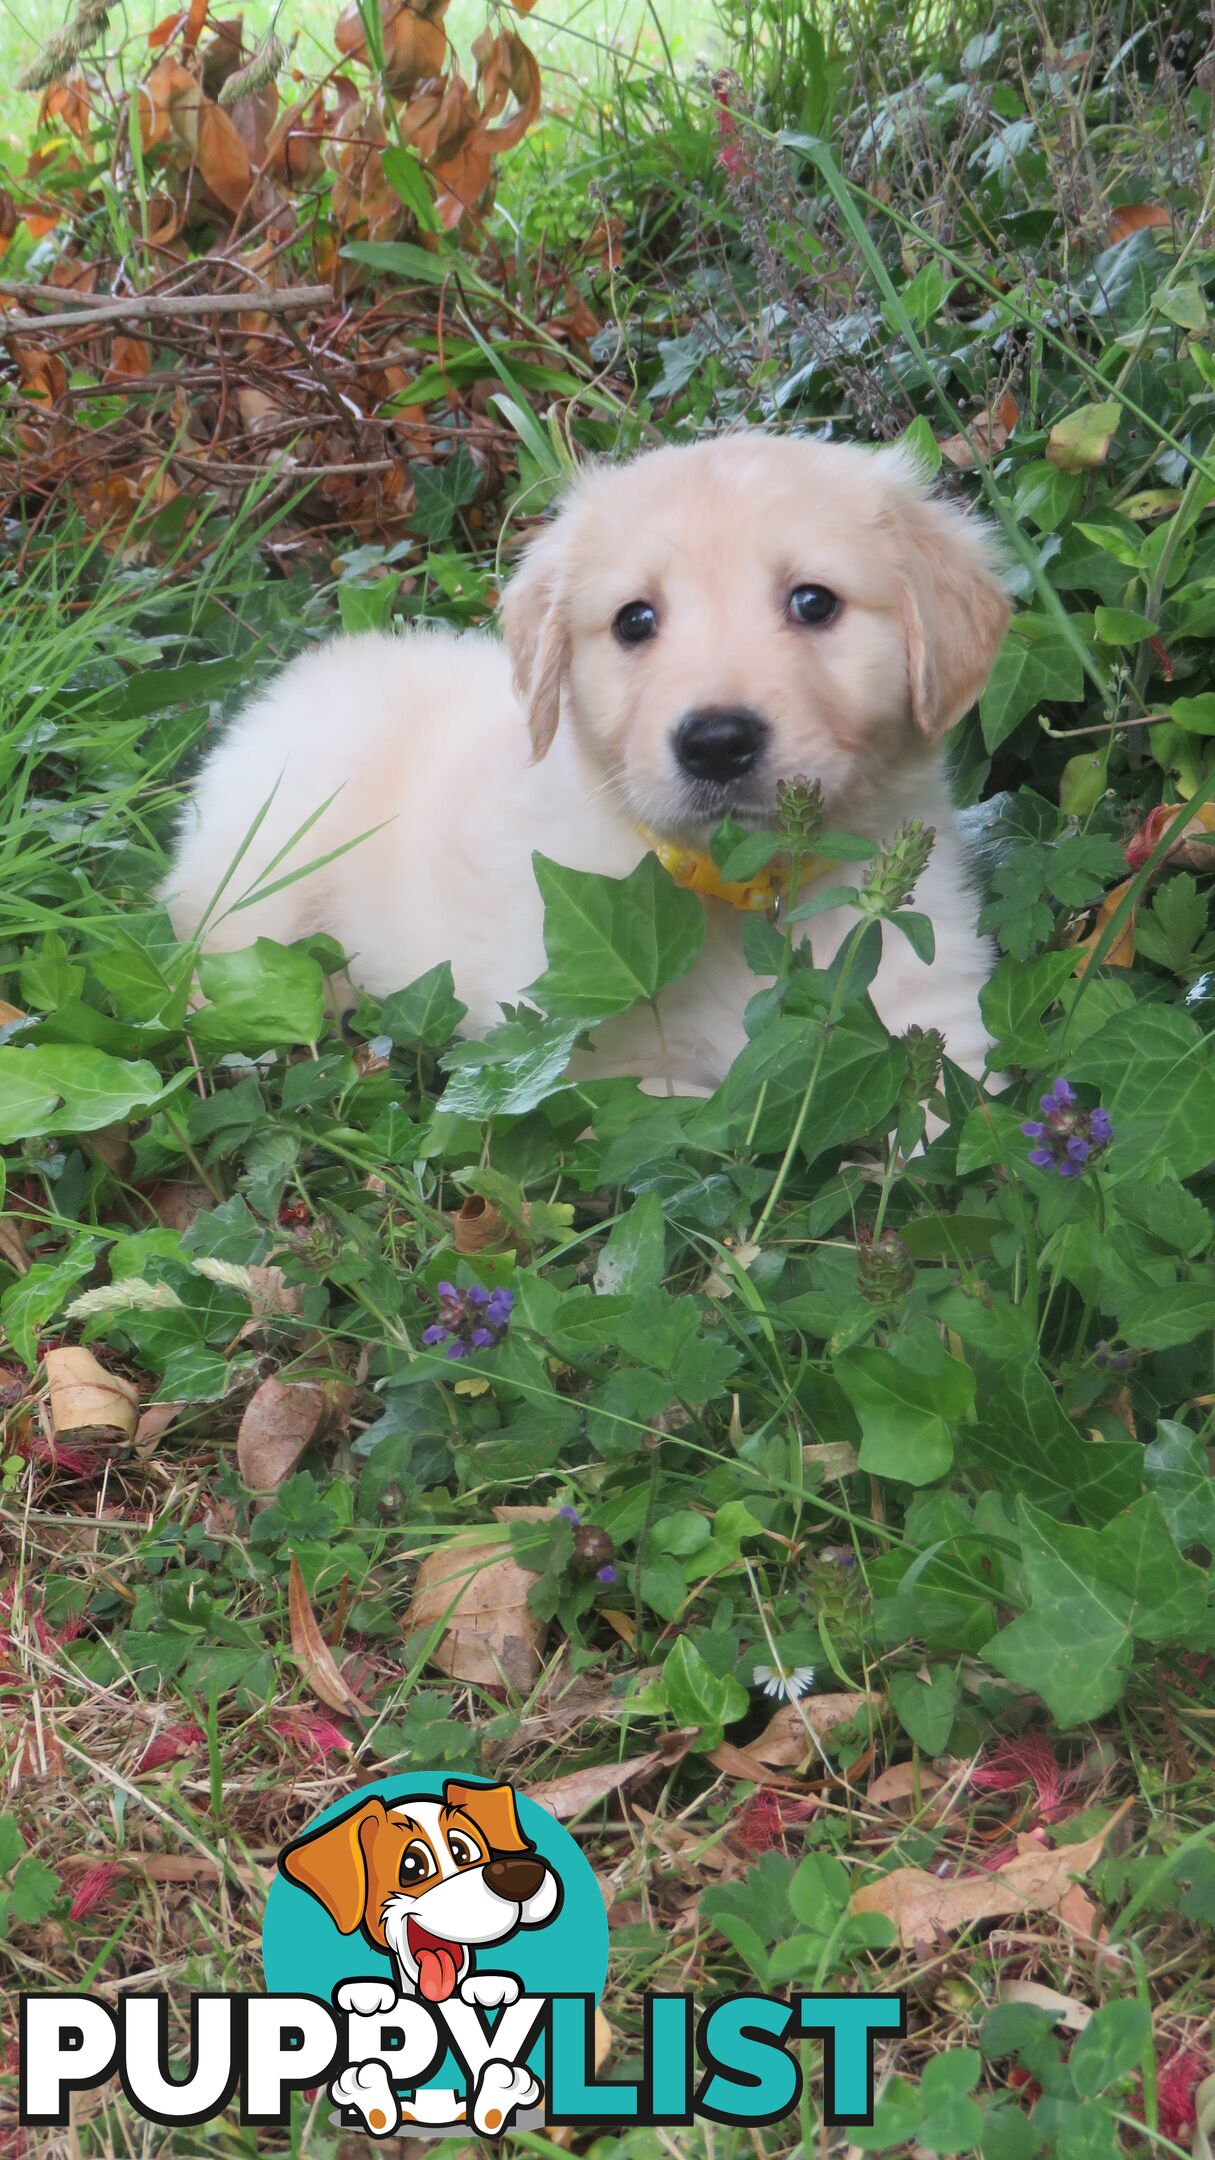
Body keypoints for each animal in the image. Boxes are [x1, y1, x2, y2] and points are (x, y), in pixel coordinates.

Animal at [165, 436, 1007, 1088]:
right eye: (634, 621)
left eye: (813, 602)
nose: (714, 743)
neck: (743, 890)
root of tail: (297, 679)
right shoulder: (583, 1058)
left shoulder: (934, 1018)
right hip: (266, 872)